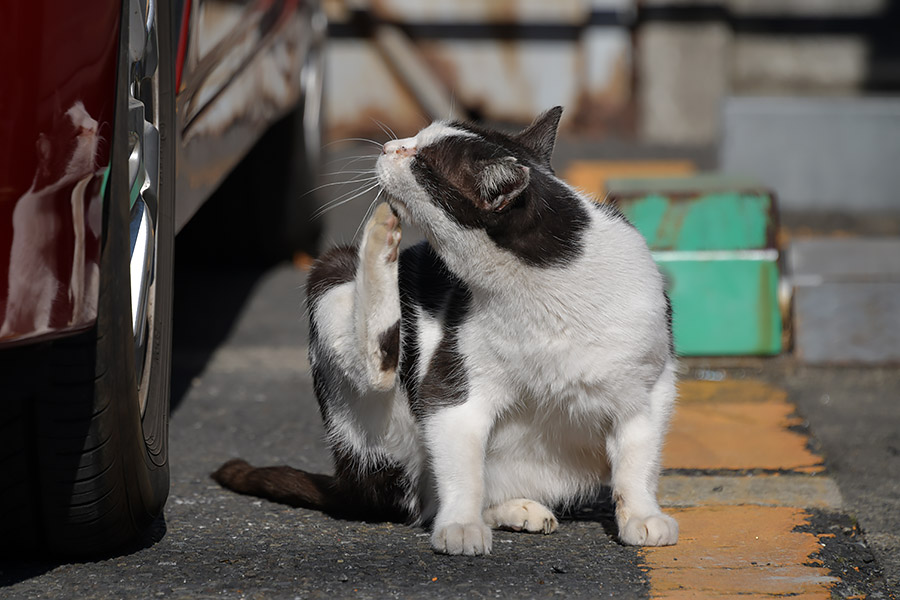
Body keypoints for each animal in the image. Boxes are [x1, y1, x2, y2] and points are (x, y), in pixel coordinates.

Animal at [214, 108, 680, 556]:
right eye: (415, 140)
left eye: (422, 161)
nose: (388, 147)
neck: (545, 286)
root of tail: (352, 478)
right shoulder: (453, 390)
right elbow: (462, 470)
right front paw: (460, 526)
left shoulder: (648, 391)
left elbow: (638, 464)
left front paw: (643, 515)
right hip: (337, 283)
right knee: (377, 368)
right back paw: (380, 237)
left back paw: (516, 509)